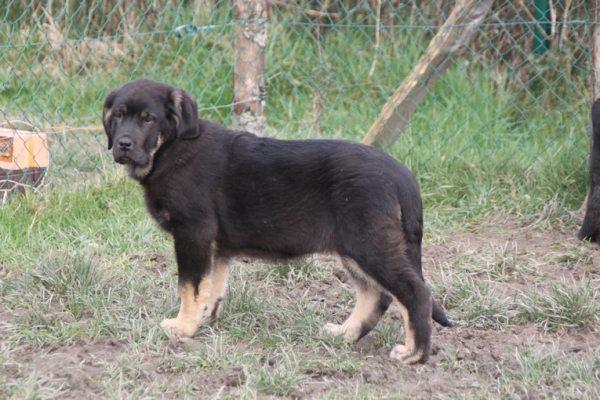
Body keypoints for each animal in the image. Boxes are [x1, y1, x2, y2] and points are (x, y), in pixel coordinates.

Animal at [103, 78, 450, 366]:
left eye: (148, 118)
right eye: (118, 116)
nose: (123, 144)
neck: (171, 147)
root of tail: (402, 176)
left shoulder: (192, 233)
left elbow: (190, 285)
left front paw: (183, 327)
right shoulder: (215, 245)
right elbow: (212, 286)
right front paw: (204, 319)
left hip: (369, 244)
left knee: (414, 293)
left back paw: (414, 354)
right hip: (354, 249)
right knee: (374, 295)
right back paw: (345, 333)